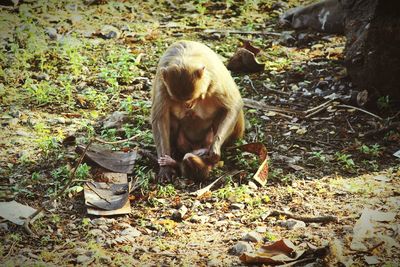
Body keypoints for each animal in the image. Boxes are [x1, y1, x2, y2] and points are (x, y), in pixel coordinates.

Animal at [152, 40, 245, 182]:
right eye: (180, 100)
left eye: (194, 98)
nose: (188, 105)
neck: (185, 57)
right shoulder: (162, 84)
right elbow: (160, 118)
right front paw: (165, 169)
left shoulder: (215, 80)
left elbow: (233, 106)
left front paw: (215, 147)